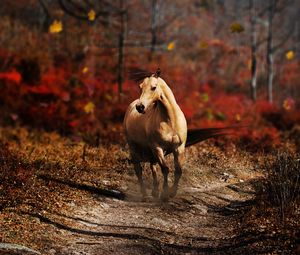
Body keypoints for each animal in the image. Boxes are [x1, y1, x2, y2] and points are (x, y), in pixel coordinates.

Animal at [124, 68, 237, 201]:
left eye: (153, 87)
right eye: (140, 86)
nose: (140, 107)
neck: (170, 121)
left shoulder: (178, 147)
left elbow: (178, 170)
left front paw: (171, 193)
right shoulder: (158, 147)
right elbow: (165, 169)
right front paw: (165, 194)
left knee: (153, 166)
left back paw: (155, 192)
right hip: (135, 147)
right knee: (139, 169)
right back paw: (145, 195)